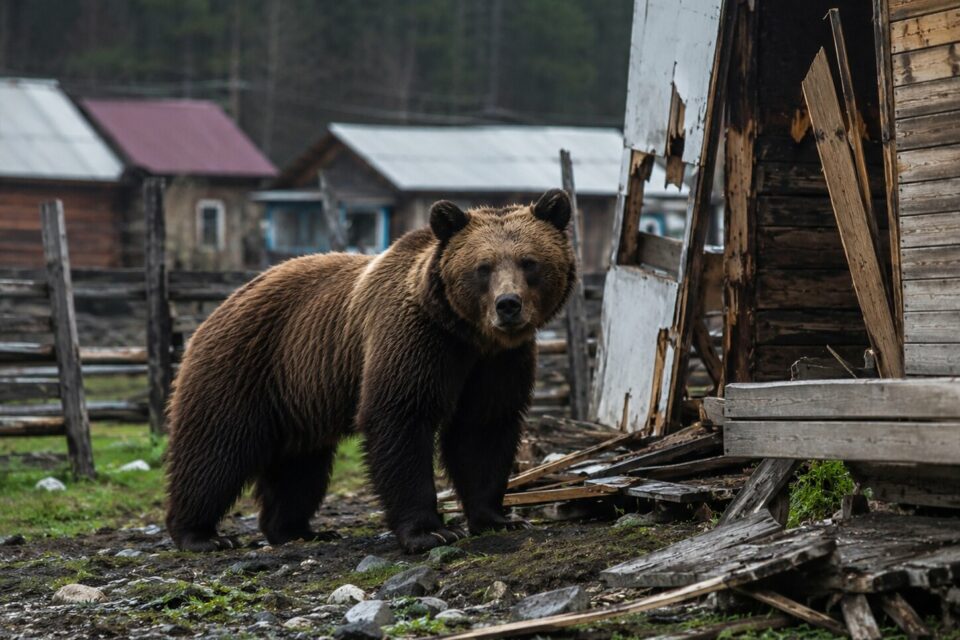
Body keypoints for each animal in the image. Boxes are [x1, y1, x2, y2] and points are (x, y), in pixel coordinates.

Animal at [164, 188, 576, 553]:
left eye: (529, 262)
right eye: (483, 267)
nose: (508, 305)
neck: (466, 333)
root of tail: (218, 307)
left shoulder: (498, 363)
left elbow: (483, 429)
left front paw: (499, 518)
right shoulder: (414, 340)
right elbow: (400, 418)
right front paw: (430, 532)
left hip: (297, 396)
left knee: (300, 467)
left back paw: (299, 530)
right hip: (244, 367)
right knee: (215, 451)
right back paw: (202, 534)